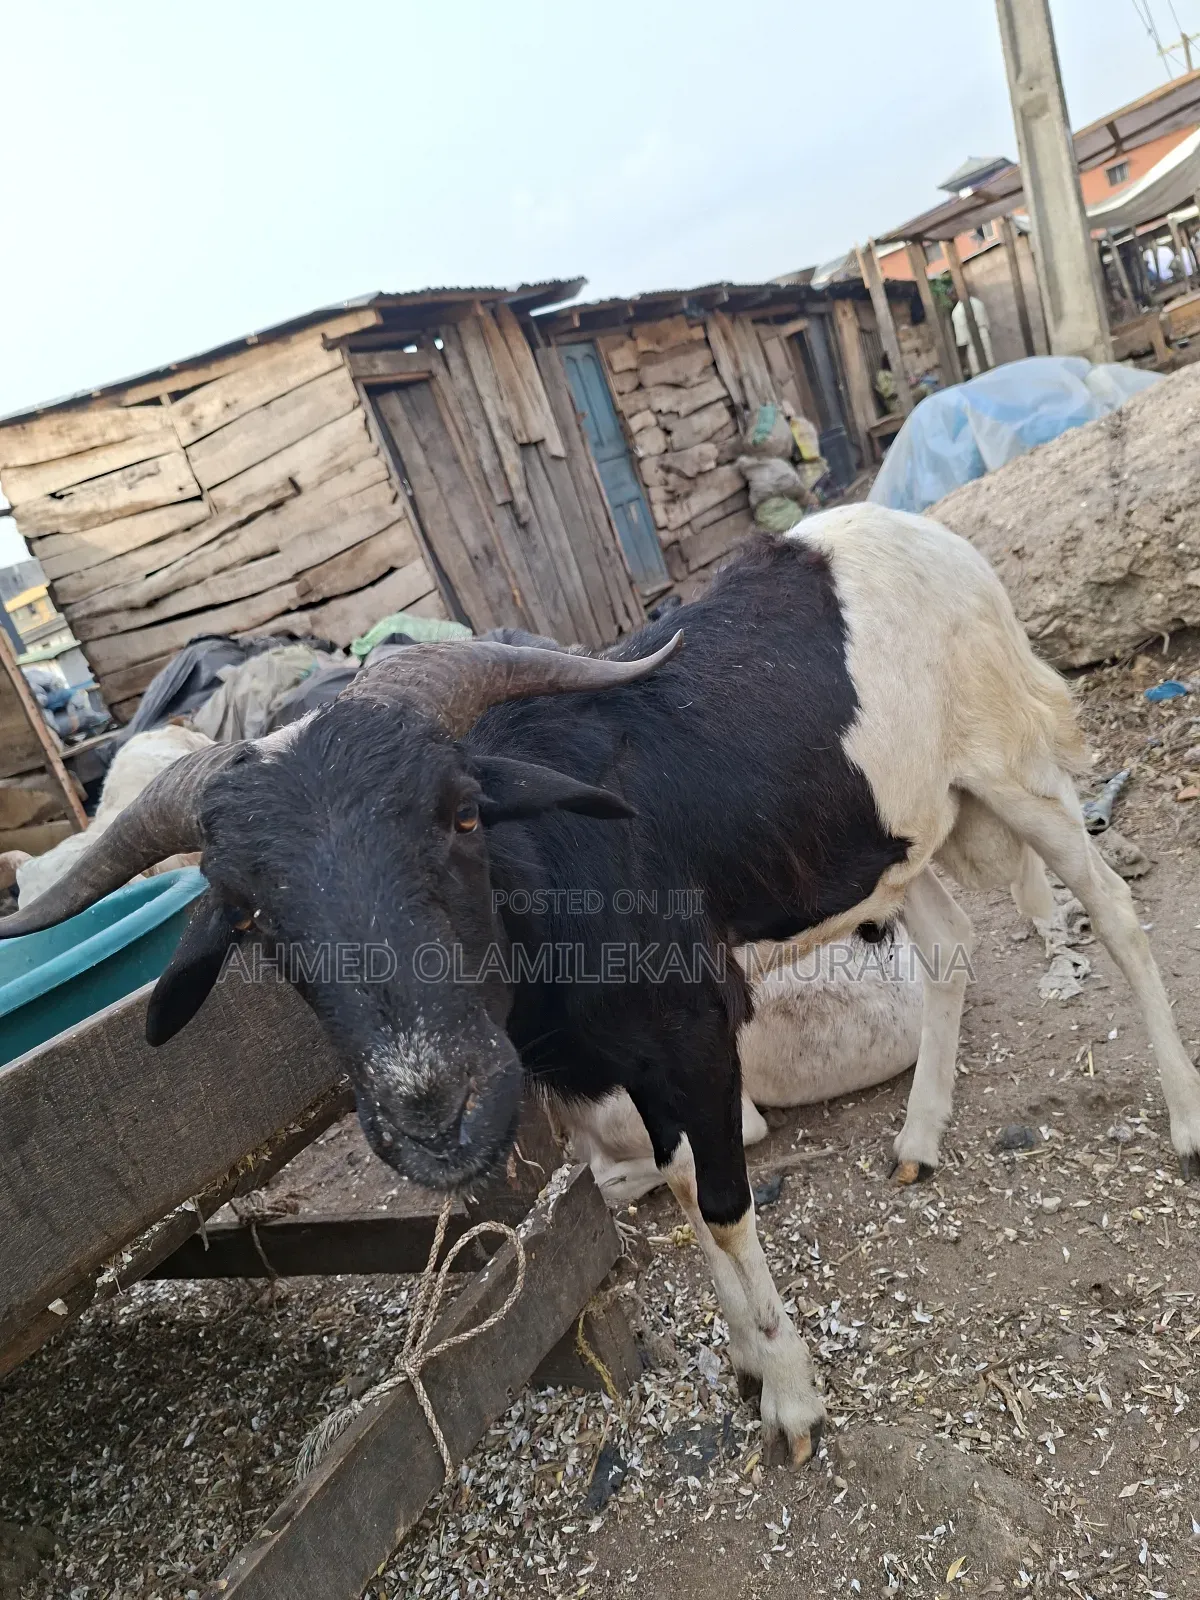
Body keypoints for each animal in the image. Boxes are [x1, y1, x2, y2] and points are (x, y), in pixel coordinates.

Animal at [5, 505, 1197, 1472]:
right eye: (249, 912)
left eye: (464, 815)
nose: (433, 1110)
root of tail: (927, 531)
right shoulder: (616, 1068)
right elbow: (676, 1182)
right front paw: (750, 1362)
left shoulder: (697, 1032)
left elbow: (719, 1202)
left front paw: (792, 1401)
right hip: (890, 837)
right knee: (948, 945)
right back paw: (920, 1138)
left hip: (1010, 766)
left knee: (1115, 912)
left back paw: (1183, 1118)